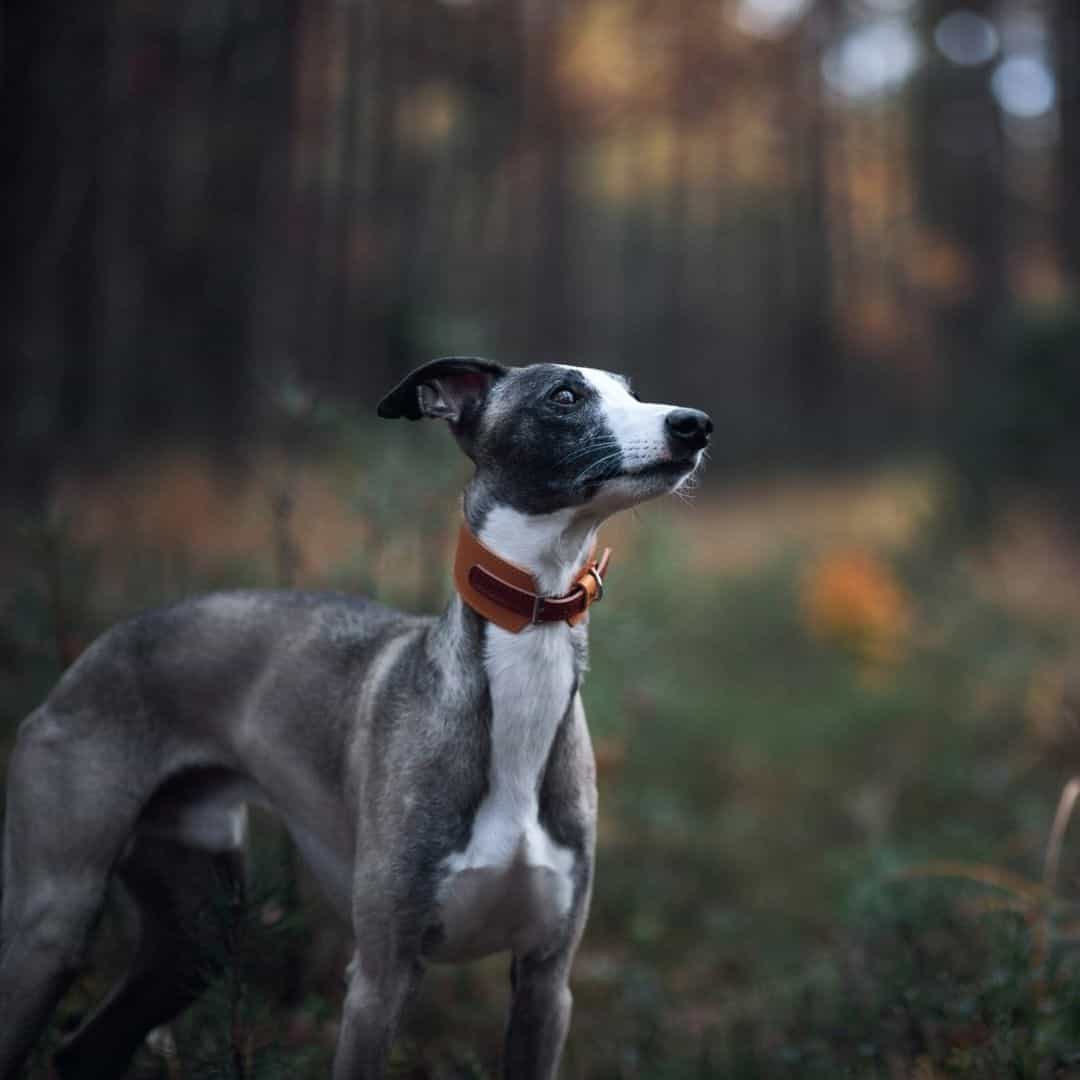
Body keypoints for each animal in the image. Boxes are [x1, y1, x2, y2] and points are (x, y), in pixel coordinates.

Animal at [0, 360, 712, 1080]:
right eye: (564, 395)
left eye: (629, 389)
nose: (694, 425)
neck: (516, 703)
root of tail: (97, 648)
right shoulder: (379, 976)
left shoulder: (546, 980)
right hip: (54, 915)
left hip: (196, 929)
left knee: (85, 1047)